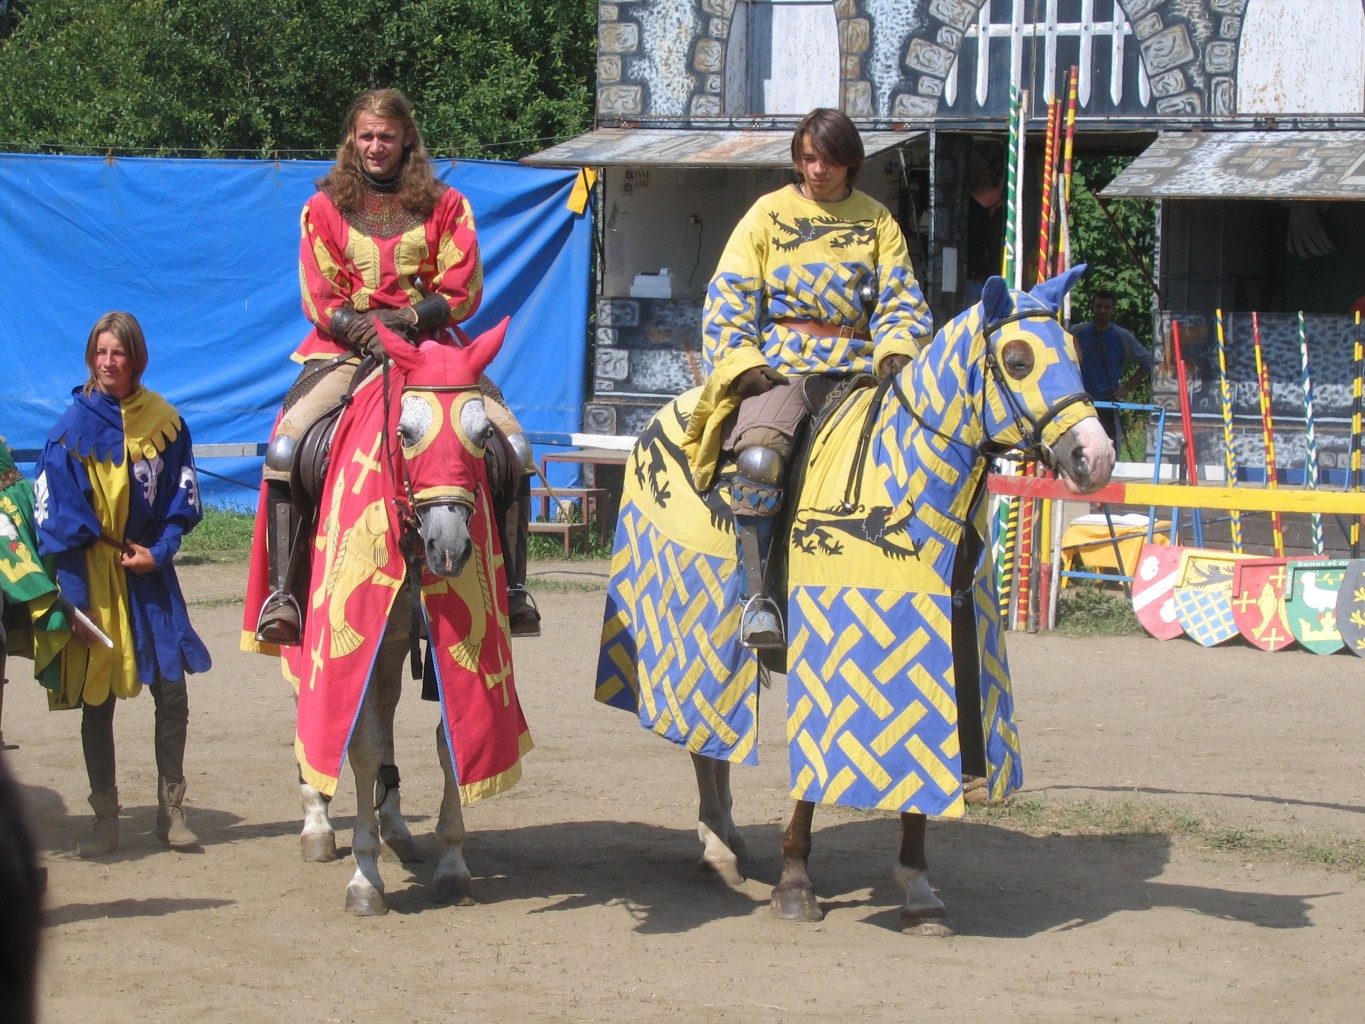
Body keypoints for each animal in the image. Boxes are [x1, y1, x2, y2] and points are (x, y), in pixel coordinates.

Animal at [243, 321, 532, 916]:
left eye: (481, 436)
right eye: (405, 432)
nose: (450, 548)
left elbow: (448, 743)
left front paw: (452, 864)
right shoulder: (360, 640)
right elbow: (363, 745)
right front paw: (364, 876)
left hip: (397, 639)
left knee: (389, 706)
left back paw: (395, 823)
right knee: (317, 706)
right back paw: (317, 821)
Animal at [595, 268, 1115, 935]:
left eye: (1073, 355)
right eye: (1018, 360)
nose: (1095, 457)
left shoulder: (938, 651)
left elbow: (919, 770)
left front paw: (918, 888)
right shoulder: (832, 644)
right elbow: (813, 773)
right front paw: (795, 883)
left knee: (715, 746)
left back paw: (728, 836)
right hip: (698, 627)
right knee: (702, 735)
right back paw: (715, 847)